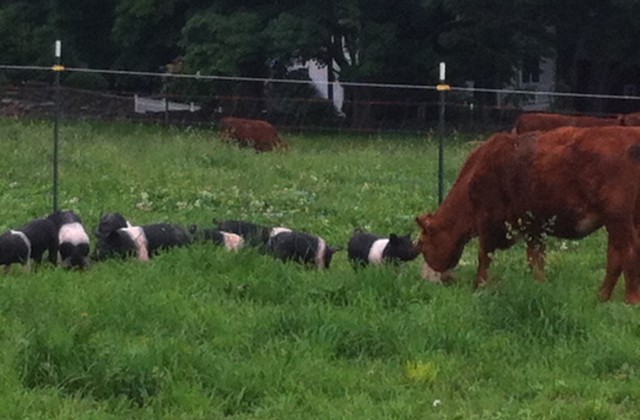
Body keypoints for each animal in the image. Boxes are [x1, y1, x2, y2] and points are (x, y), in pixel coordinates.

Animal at [416, 126, 640, 304]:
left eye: (422, 244)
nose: (437, 280)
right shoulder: (534, 227)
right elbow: (535, 259)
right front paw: (540, 285)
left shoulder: (488, 222)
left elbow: (484, 256)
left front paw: (479, 286)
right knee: (617, 255)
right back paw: (603, 296)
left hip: (618, 218)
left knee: (627, 253)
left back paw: (628, 300)